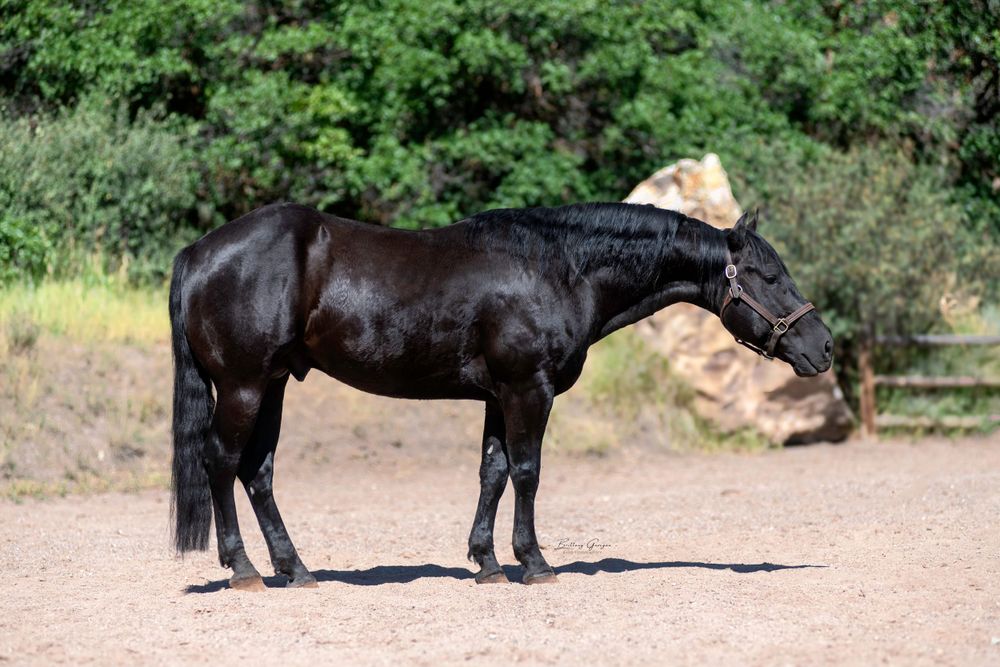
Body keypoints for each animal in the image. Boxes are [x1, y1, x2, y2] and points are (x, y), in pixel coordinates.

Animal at [169, 202, 833, 590]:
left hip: (274, 384)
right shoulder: (527, 389)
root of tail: (199, 252)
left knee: (258, 472)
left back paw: (296, 569)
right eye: (769, 277)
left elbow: (492, 472)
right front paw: (534, 563)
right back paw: (245, 570)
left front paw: (486, 562)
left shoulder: (497, 396)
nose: (823, 347)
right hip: (245, 384)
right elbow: (528, 472)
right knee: (222, 463)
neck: (559, 267)